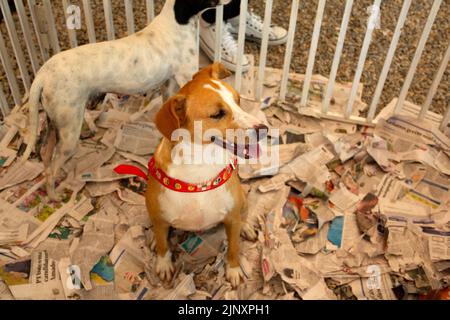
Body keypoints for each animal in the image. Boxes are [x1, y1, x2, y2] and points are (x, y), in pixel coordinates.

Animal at [144, 63, 266, 288]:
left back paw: (246, 227)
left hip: (242, 201)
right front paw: (163, 263)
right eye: (218, 114)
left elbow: (234, 248)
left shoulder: (231, 218)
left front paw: (233, 270)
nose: (264, 129)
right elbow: (163, 245)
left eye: (238, 101)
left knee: (243, 214)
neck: (199, 170)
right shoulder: (160, 219)